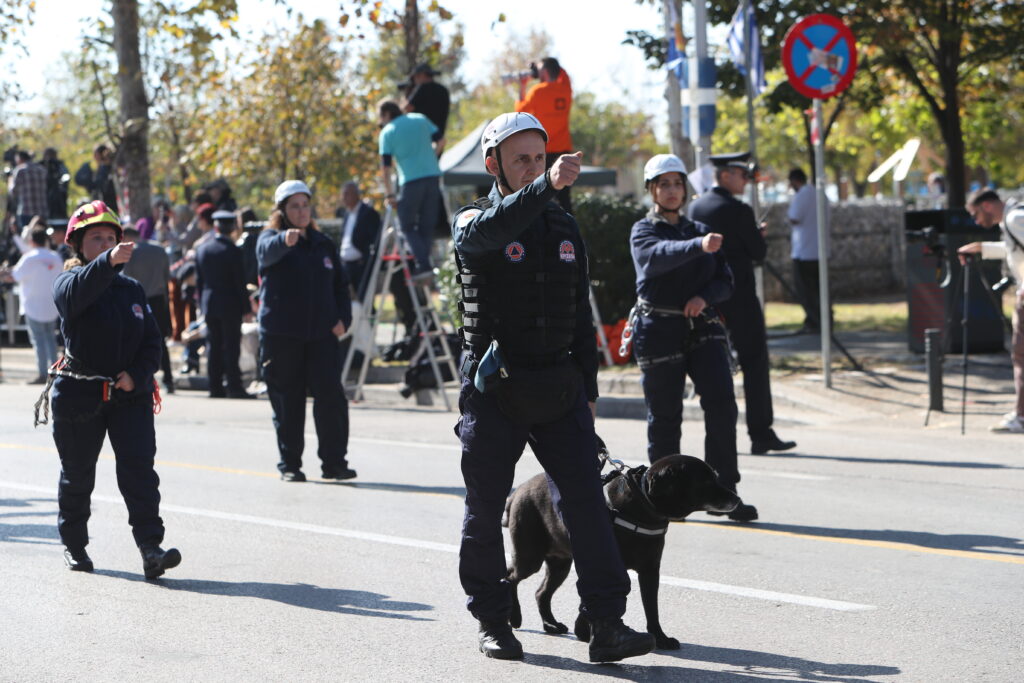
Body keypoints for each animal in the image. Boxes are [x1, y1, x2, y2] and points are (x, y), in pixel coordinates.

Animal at [501, 454, 737, 651]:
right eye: (705, 481)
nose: (737, 499)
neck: (643, 506)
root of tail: (518, 490)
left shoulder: (650, 570)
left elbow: (652, 609)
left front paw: (660, 638)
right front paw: (584, 632)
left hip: (560, 563)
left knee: (541, 592)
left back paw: (550, 624)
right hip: (530, 555)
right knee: (510, 576)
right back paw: (514, 616)